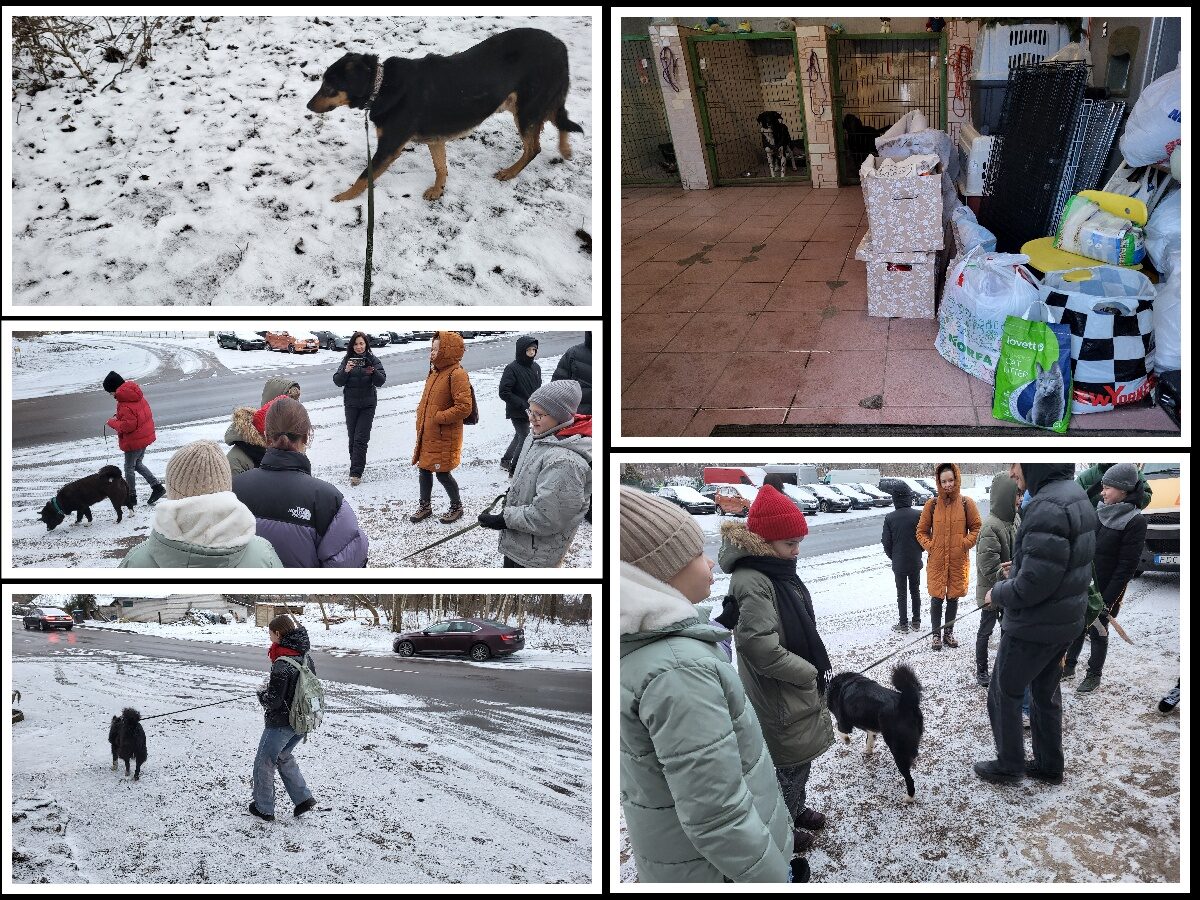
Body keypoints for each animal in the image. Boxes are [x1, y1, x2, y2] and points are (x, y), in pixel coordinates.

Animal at [307, 27, 583, 204]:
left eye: (329, 87)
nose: (308, 106)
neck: (380, 85)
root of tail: (561, 47)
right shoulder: (435, 138)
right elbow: (441, 167)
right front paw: (438, 190)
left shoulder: (388, 148)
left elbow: (364, 176)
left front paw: (345, 196)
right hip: (536, 103)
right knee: (560, 119)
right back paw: (565, 150)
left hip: (527, 108)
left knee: (533, 147)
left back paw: (510, 172)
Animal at [830, 662, 921, 801]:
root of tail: (906, 703)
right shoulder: (871, 727)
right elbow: (869, 738)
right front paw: (868, 750)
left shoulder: (844, 722)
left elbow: (837, 729)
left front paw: (846, 740)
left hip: (897, 750)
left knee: (909, 778)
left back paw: (909, 798)